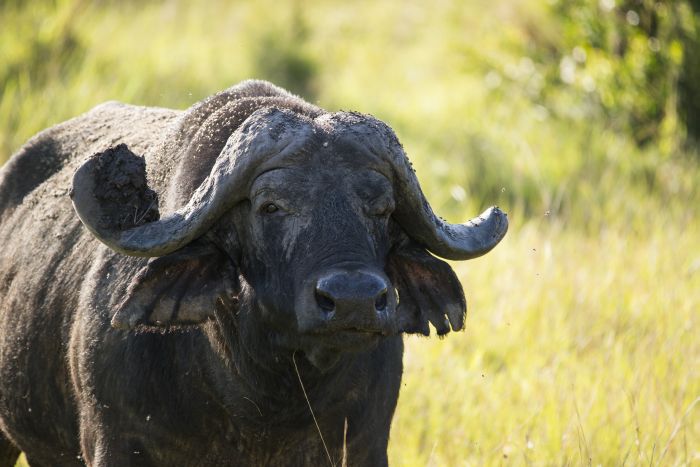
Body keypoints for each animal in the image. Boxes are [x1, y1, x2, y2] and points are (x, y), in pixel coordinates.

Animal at [0, 80, 506, 467]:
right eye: (270, 206)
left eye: (382, 209)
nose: (354, 300)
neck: (263, 396)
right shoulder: (116, 445)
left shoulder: (363, 444)